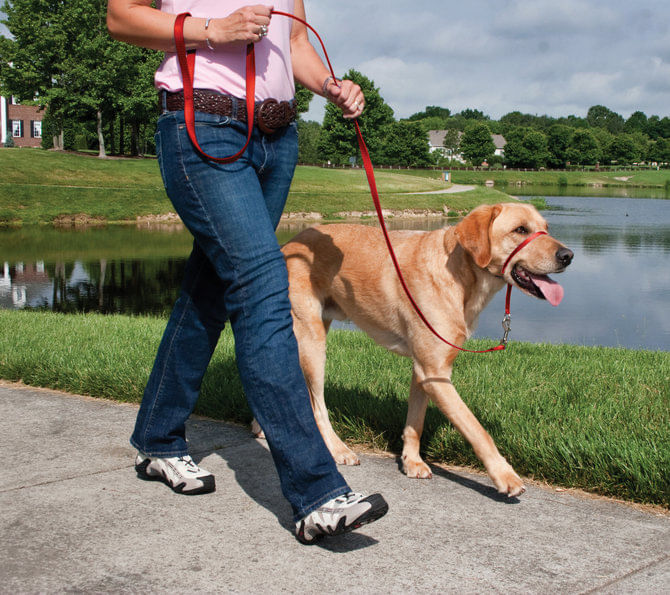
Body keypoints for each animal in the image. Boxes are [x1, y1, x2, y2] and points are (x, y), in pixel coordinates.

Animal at [256, 204, 572, 498]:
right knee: (316, 406)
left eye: (545, 227)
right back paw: (337, 449)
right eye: (520, 230)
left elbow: (415, 421)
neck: (460, 275)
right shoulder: (436, 373)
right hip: (312, 342)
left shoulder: (425, 369)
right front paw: (505, 475)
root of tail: (290, 243)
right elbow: (476, 429)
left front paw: (412, 461)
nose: (567, 255)